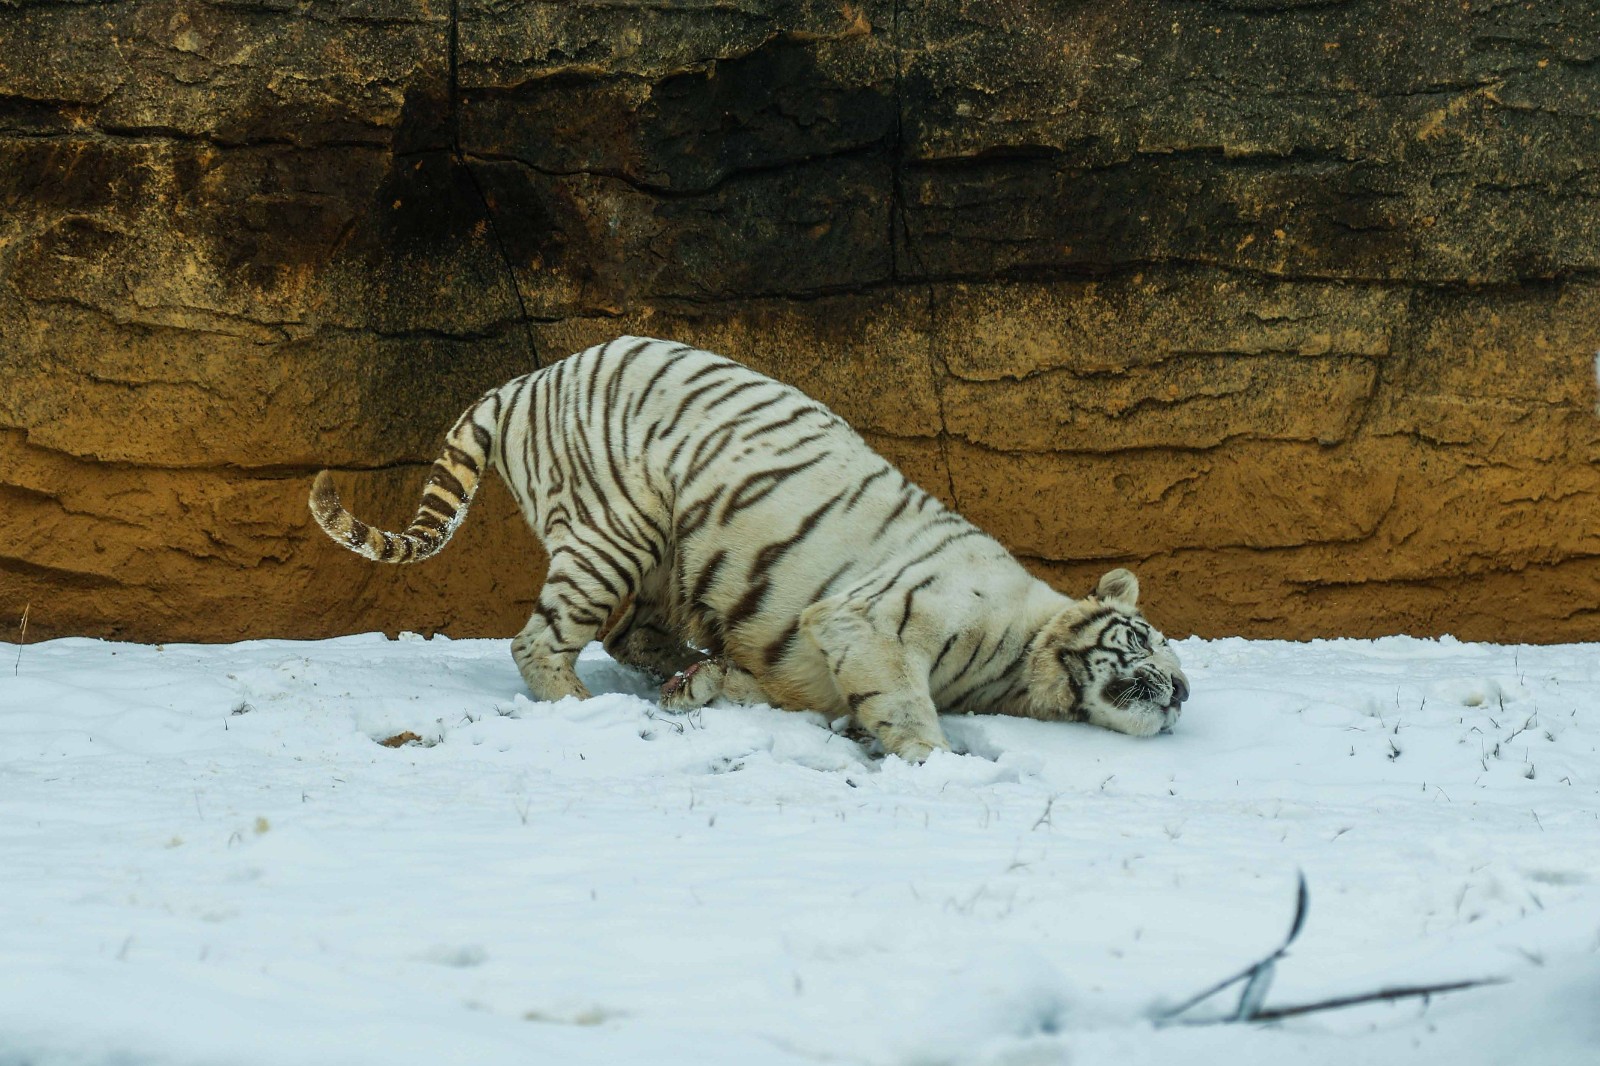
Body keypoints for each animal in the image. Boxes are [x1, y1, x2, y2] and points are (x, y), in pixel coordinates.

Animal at [309, 336, 1189, 762]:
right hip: (614, 531)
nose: (1180, 694)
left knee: (628, 634)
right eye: (1145, 639)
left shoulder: (809, 660)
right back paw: (584, 708)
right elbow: (902, 703)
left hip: (663, 555)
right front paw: (941, 766)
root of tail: (522, 381)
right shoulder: (868, 618)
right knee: (539, 642)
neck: (1021, 664)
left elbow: (786, 686)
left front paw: (704, 689)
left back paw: (675, 676)